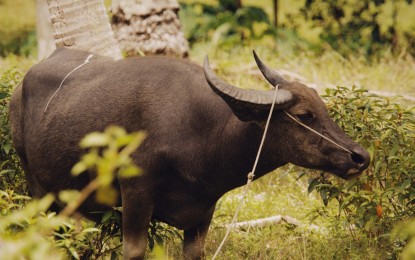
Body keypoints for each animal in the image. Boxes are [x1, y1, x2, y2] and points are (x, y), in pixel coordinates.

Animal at [8, 47, 370, 258]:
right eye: (305, 115)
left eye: (324, 108)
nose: (361, 157)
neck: (203, 134)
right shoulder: (135, 196)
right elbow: (134, 251)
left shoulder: (203, 210)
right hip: (36, 187)